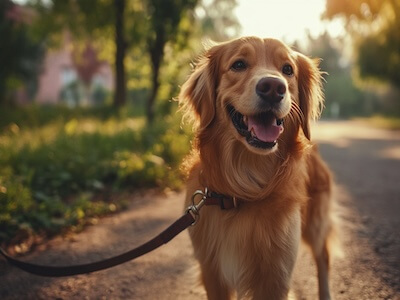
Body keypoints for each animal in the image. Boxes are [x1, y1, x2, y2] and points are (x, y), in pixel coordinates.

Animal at [180, 37, 332, 300]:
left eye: (288, 69)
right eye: (239, 64)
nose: (273, 87)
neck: (245, 189)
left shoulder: (277, 275)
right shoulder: (212, 272)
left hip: (315, 223)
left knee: (323, 258)